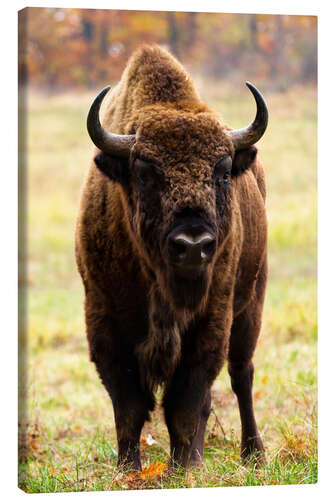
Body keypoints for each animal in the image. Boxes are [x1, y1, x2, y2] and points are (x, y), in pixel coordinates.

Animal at [75, 45, 268, 470]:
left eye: (223, 172)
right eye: (145, 173)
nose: (193, 244)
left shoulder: (212, 319)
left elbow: (186, 403)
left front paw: (185, 467)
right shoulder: (104, 321)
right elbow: (129, 406)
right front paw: (128, 470)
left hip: (252, 303)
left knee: (241, 374)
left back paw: (253, 453)